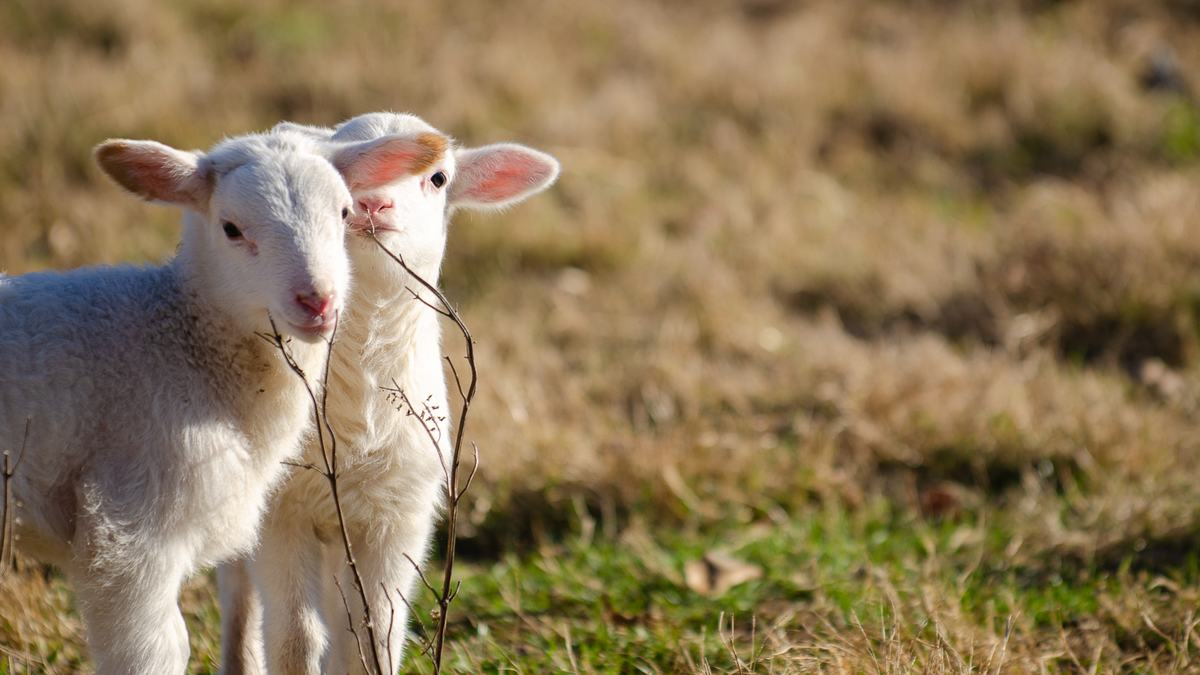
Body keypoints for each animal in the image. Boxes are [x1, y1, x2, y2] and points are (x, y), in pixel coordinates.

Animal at [0, 126, 447, 674]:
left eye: (344, 214)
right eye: (231, 228)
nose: (318, 302)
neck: (179, 337)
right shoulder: (128, 531)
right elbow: (156, 652)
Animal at [217, 112, 560, 675]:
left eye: (438, 178)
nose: (374, 204)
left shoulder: (399, 515)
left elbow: (376, 634)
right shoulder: (282, 512)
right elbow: (293, 636)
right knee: (240, 604)